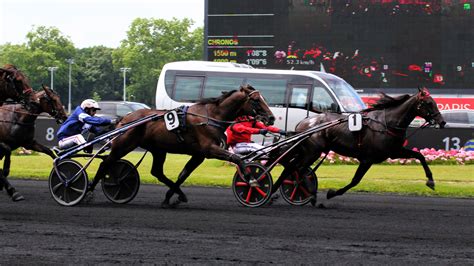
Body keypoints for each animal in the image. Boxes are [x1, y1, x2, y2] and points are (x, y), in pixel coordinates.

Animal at [89, 85, 274, 208]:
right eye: (256, 100)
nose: (271, 118)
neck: (210, 117)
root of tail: (124, 118)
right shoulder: (211, 149)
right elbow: (237, 158)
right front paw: (252, 180)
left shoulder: (199, 155)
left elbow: (183, 175)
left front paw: (172, 197)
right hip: (124, 145)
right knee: (106, 163)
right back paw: (89, 190)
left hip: (158, 150)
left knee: (156, 172)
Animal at [272, 88, 446, 203]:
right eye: (429, 103)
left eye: (435, 102)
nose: (442, 122)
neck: (387, 124)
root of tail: (304, 123)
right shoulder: (368, 159)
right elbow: (356, 180)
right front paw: (332, 193)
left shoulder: (393, 152)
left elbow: (420, 155)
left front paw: (431, 181)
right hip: (313, 151)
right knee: (299, 169)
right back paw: (310, 194)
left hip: (306, 151)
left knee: (291, 167)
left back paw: (275, 190)